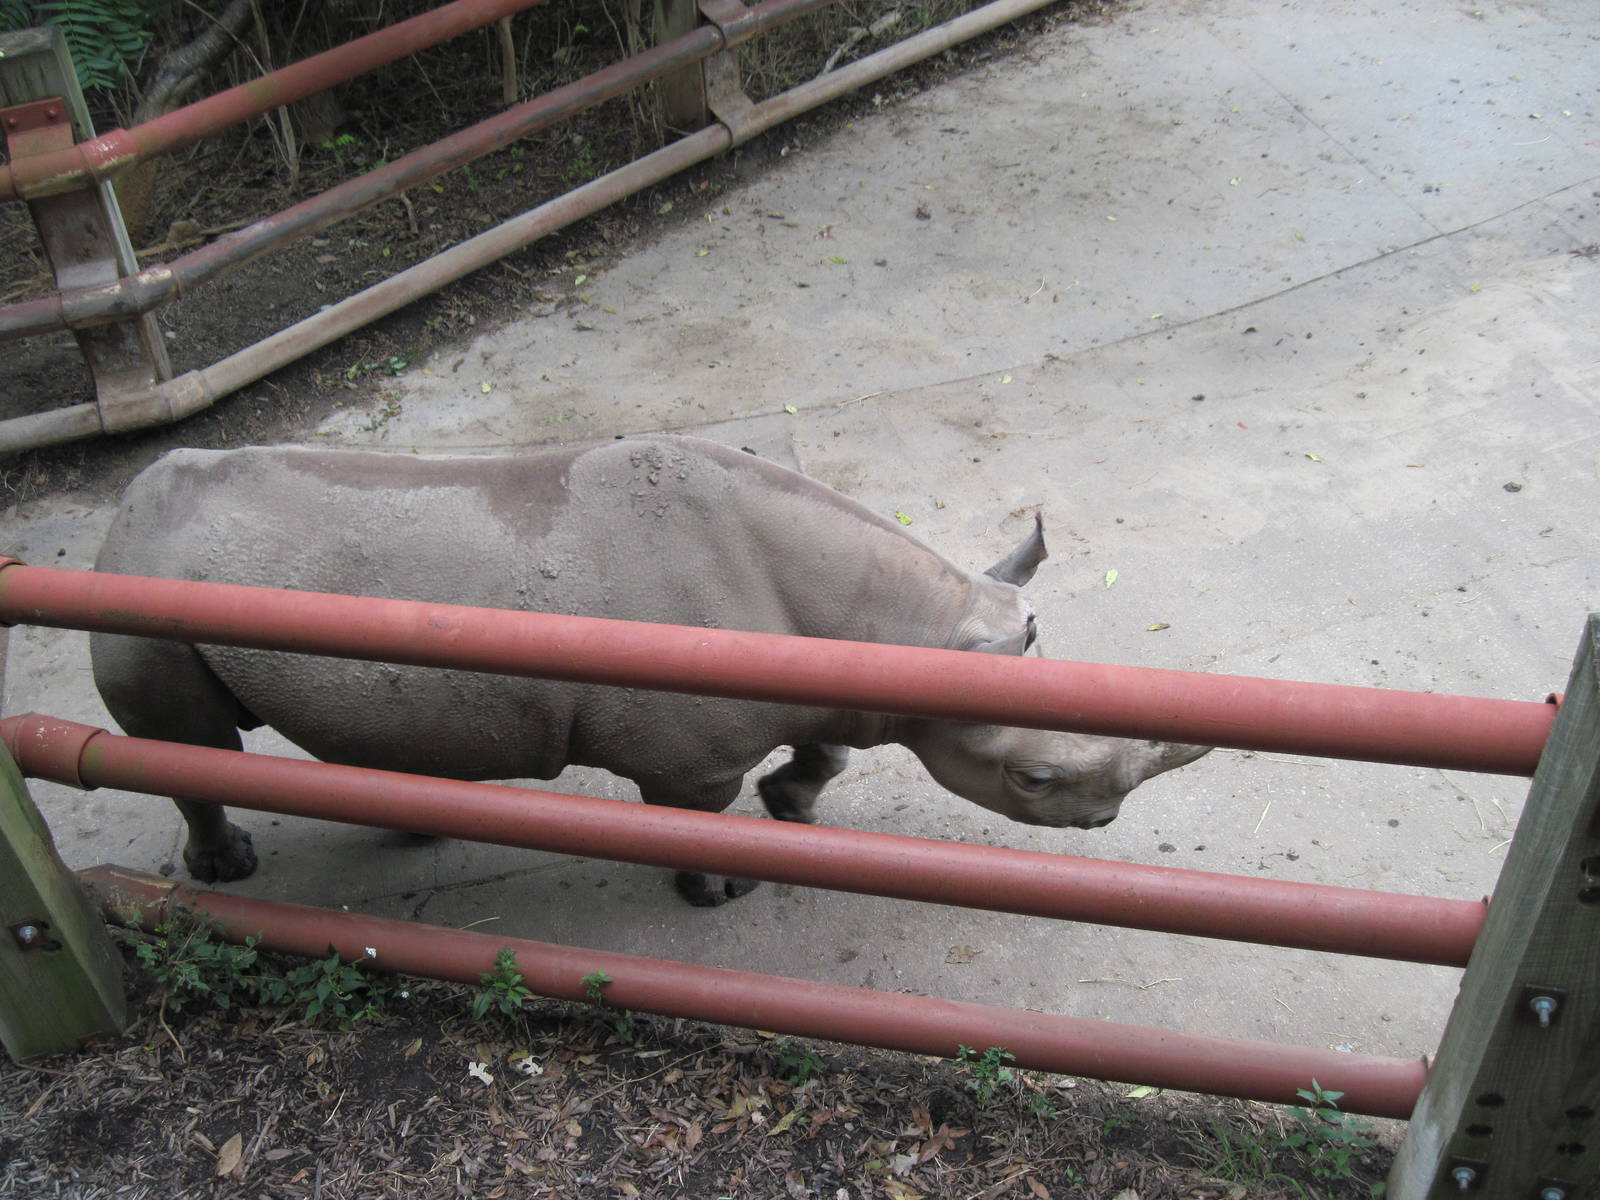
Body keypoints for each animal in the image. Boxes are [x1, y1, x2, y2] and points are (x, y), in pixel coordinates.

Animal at [91, 436, 1209, 904]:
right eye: (1033, 781)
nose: (1104, 824)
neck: (902, 635)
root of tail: (125, 503)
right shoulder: (688, 755)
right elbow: (696, 817)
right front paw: (720, 892)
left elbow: (826, 750)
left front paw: (793, 807)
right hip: (144, 597)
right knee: (186, 742)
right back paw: (229, 873)